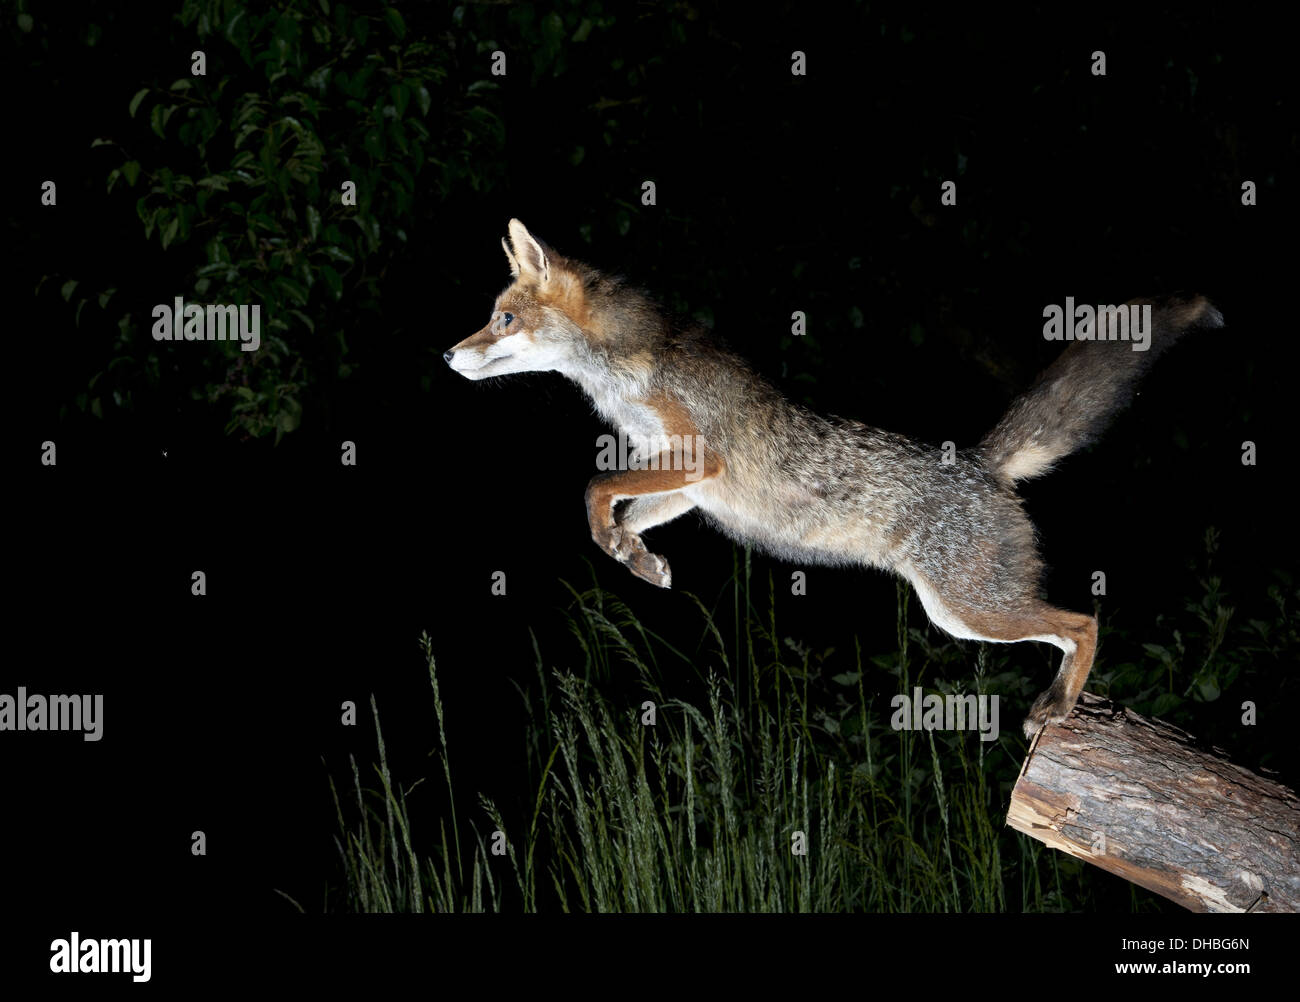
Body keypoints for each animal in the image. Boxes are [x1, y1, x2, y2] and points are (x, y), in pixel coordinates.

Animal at [445, 219, 1224, 738]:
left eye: (502, 318)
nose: (449, 354)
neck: (623, 375)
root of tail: (981, 460)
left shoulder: (698, 457)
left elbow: (592, 491)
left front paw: (620, 547)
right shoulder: (688, 485)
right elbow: (624, 514)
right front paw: (638, 560)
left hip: (970, 610)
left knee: (1084, 622)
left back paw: (1058, 706)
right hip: (961, 615)